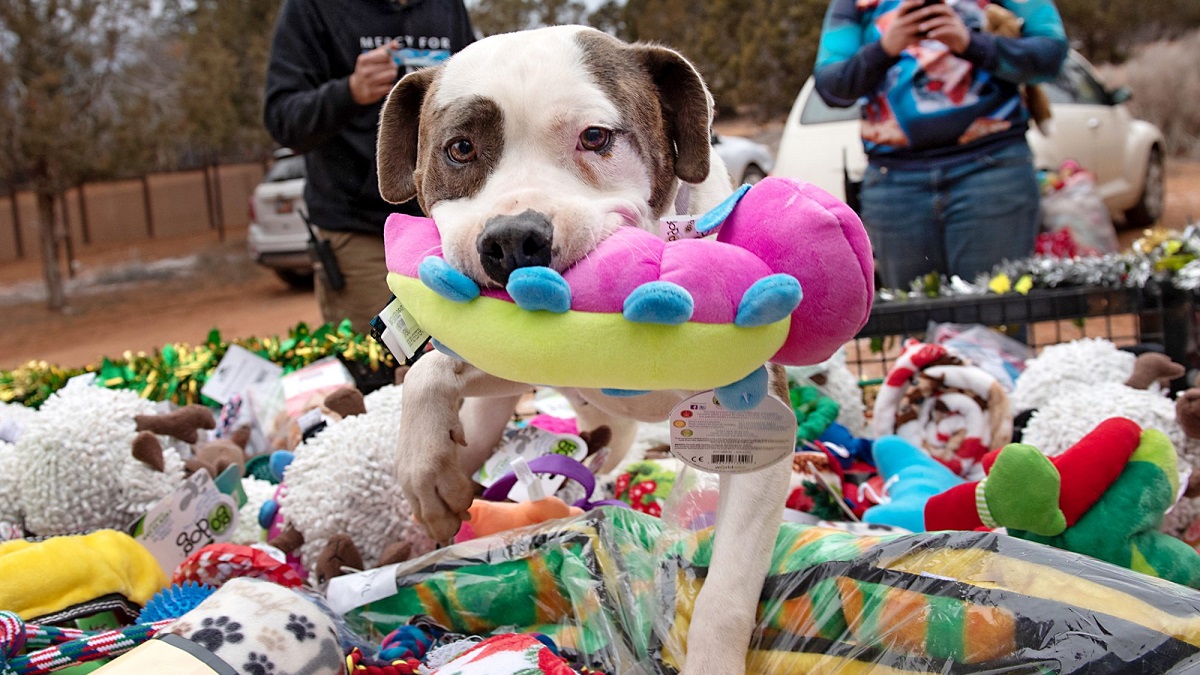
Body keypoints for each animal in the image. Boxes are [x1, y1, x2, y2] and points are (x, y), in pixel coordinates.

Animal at [374, 26, 787, 672]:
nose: (513, 238)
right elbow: (430, 370)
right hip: (500, 424)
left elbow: (727, 591)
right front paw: (425, 473)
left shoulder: (760, 432)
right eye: (460, 149)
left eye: (595, 137)